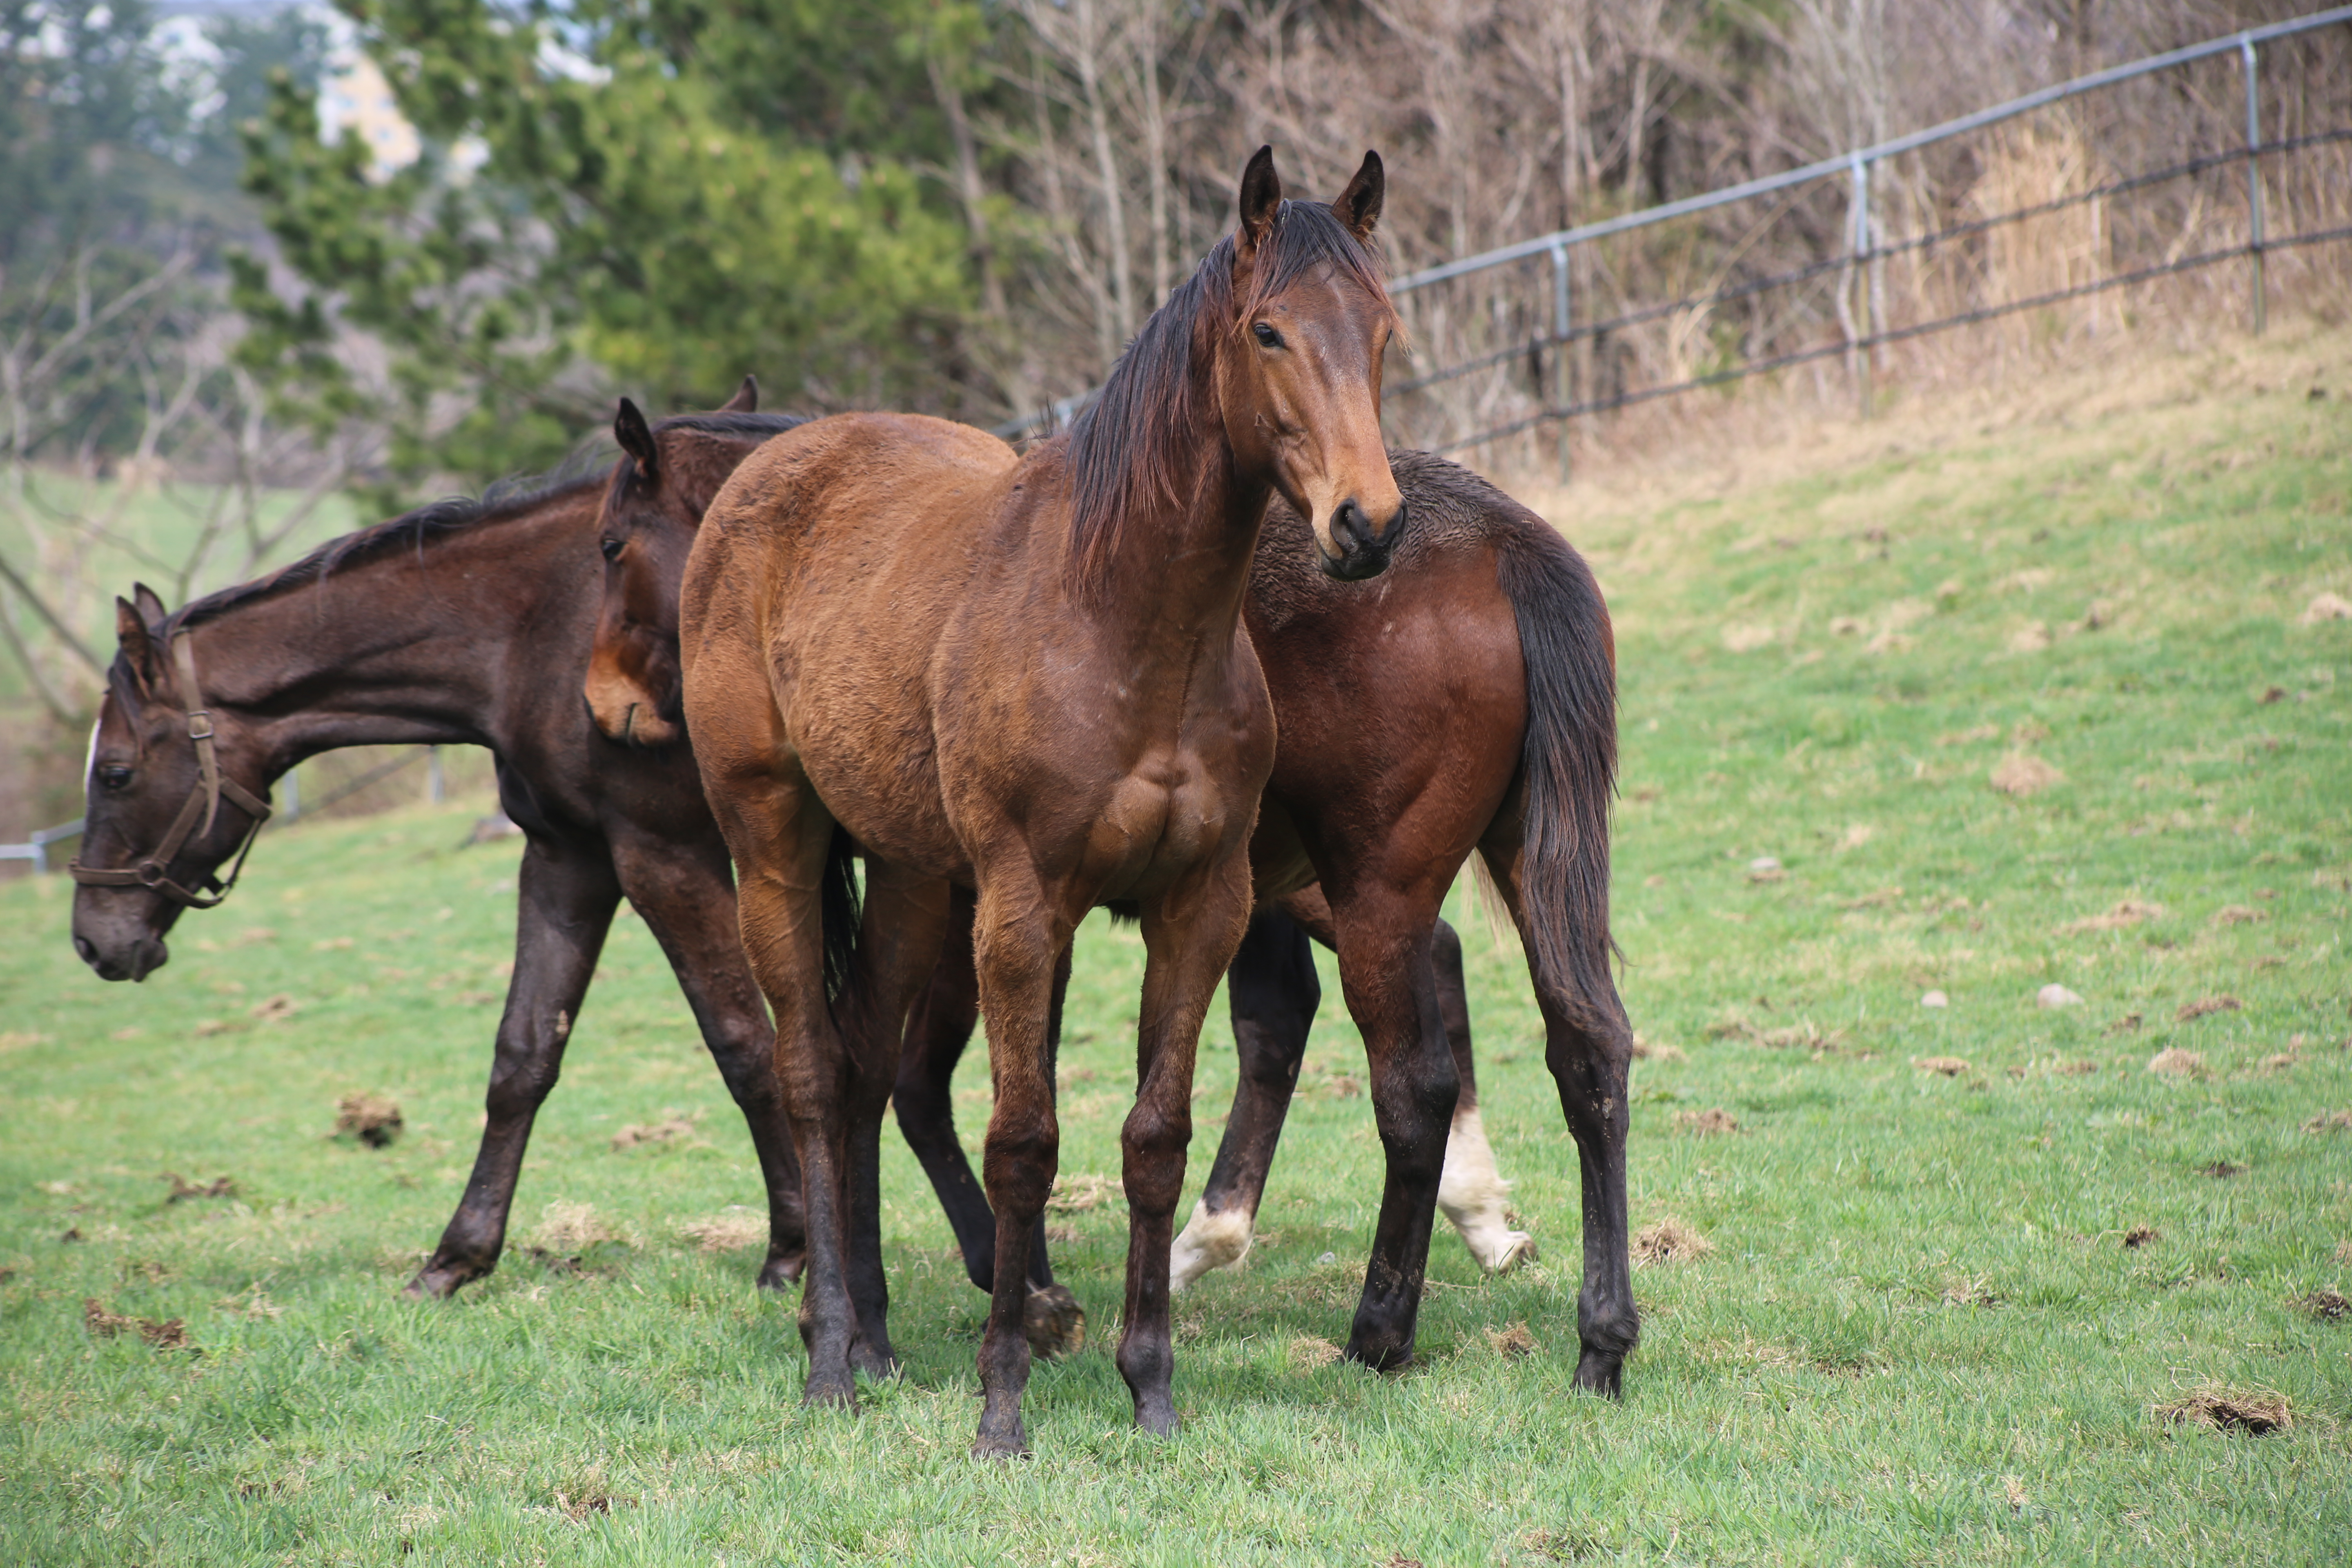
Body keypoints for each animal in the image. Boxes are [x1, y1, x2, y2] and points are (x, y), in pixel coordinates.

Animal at [67, 402, 818, 1297]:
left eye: (115, 773)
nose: (93, 938)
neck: (540, 632)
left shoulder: (666, 855)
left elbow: (745, 1043)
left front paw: (793, 1251)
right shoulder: (570, 858)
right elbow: (524, 1055)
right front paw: (457, 1257)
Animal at [588, 414, 1637, 1382]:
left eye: (609, 543)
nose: (604, 705)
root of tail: (1501, 538)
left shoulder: (982, 900)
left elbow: (925, 1084)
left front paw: (1005, 1291)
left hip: (1369, 885)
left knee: (1409, 1081)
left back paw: (1372, 1326)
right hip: (1505, 858)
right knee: (1584, 1042)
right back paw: (1588, 1328)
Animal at [682, 153, 1411, 1457]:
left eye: (1379, 331)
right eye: (1269, 331)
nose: (1366, 526)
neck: (1122, 620)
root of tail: (762, 478)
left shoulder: (1199, 907)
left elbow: (1154, 1138)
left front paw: (1151, 1391)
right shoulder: (1024, 912)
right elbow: (1023, 1142)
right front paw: (1003, 1405)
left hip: (912, 880)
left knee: (861, 1069)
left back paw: (872, 1342)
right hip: (771, 845)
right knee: (810, 1074)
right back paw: (827, 1361)